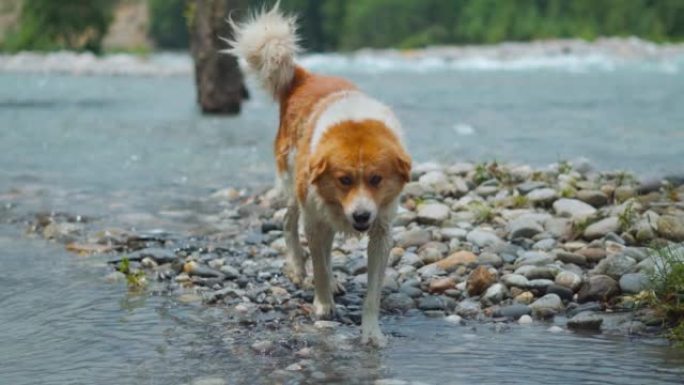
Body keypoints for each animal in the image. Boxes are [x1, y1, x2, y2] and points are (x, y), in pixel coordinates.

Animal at [226, 3, 412, 344]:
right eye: (344, 180)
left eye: (377, 179)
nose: (361, 216)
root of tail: (304, 76)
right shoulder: (315, 218)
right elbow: (320, 266)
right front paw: (323, 306)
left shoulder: (381, 229)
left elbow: (372, 293)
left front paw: (371, 333)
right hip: (292, 185)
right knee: (289, 223)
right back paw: (299, 268)